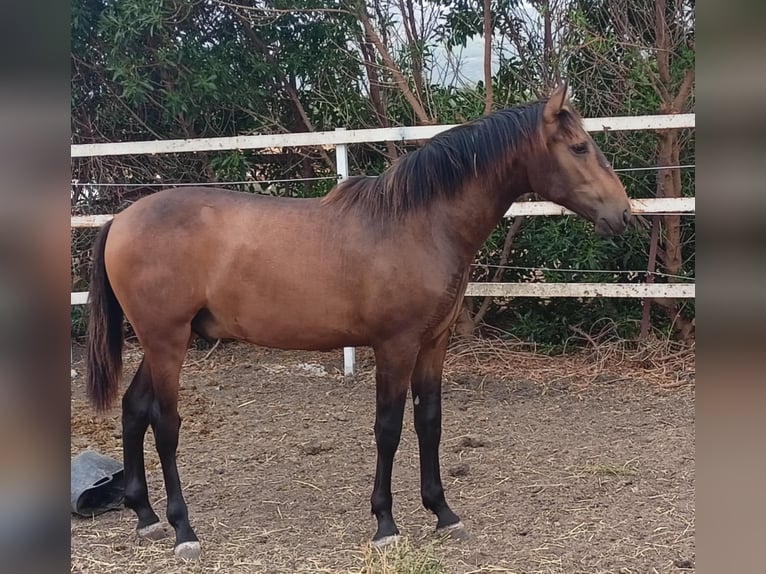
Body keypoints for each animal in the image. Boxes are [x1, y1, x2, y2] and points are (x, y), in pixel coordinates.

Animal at [87, 83, 632, 560]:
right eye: (580, 147)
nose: (624, 215)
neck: (418, 223)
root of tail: (121, 219)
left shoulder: (433, 343)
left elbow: (429, 422)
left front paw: (443, 513)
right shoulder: (395, 345)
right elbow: (388, 428)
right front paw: (386, 525)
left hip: (161, 342)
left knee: (134, 409)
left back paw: (145, 517)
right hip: (167, 342)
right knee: (165, 424)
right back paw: (183, 529)